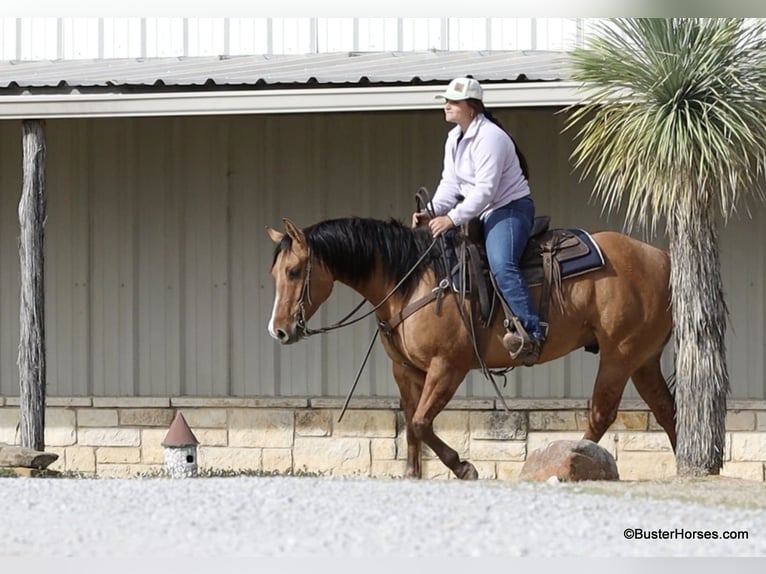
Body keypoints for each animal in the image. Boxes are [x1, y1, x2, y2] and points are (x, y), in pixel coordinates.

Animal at [267, 216, 676, 480]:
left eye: (293, 271)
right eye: (274, 274)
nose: (279, 331)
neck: (412, 280)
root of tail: (662, 258)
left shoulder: (448, 366)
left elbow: (421, 421)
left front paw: (463, 467)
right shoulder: (406, 370)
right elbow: (411, 425)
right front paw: (412, 475)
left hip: (619, 354)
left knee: (601, 414)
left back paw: (566, 463)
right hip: (643, 359)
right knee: (666, 410)